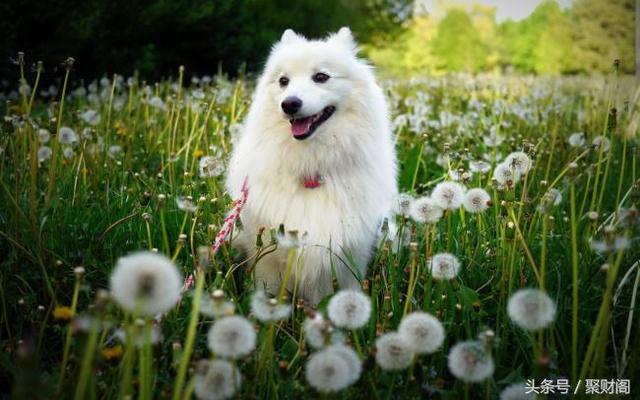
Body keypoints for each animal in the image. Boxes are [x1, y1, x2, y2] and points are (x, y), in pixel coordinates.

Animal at [224, 26, 396, 304]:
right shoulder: (267, 258)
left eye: (321, 77)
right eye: (283, 81)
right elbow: (267, 293)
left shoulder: (348, 257)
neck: (312, 166)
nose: (289, 103)